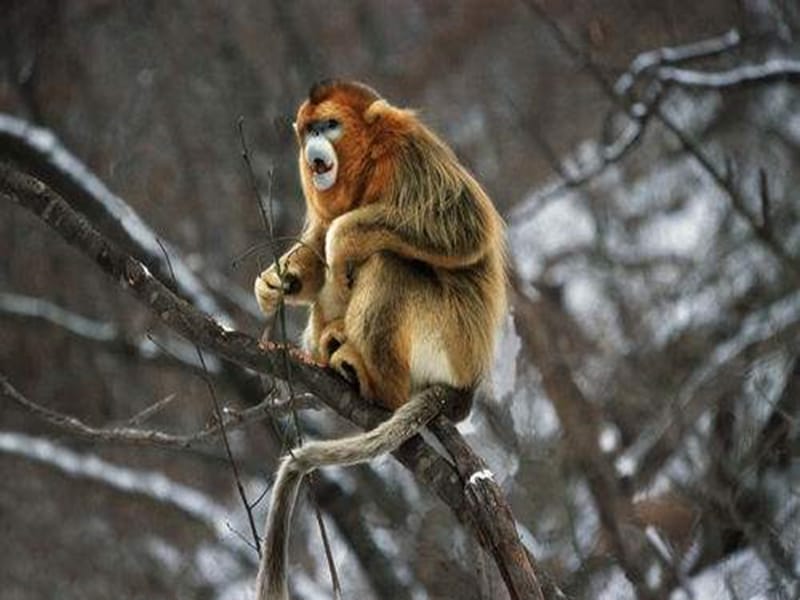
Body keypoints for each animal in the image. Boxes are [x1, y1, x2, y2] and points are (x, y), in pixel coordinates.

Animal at [255, 81, 506, 600]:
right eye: (308, 128)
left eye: (329, 125)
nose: (313, 146)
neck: (367, 162)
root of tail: (467, 387)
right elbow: (316, 244)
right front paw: (276, 282)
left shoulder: (411, 154)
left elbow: (462, 229)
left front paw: (343, 237)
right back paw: (330, 348)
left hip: (447, 340)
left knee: (388, 263)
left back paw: (371, 380)